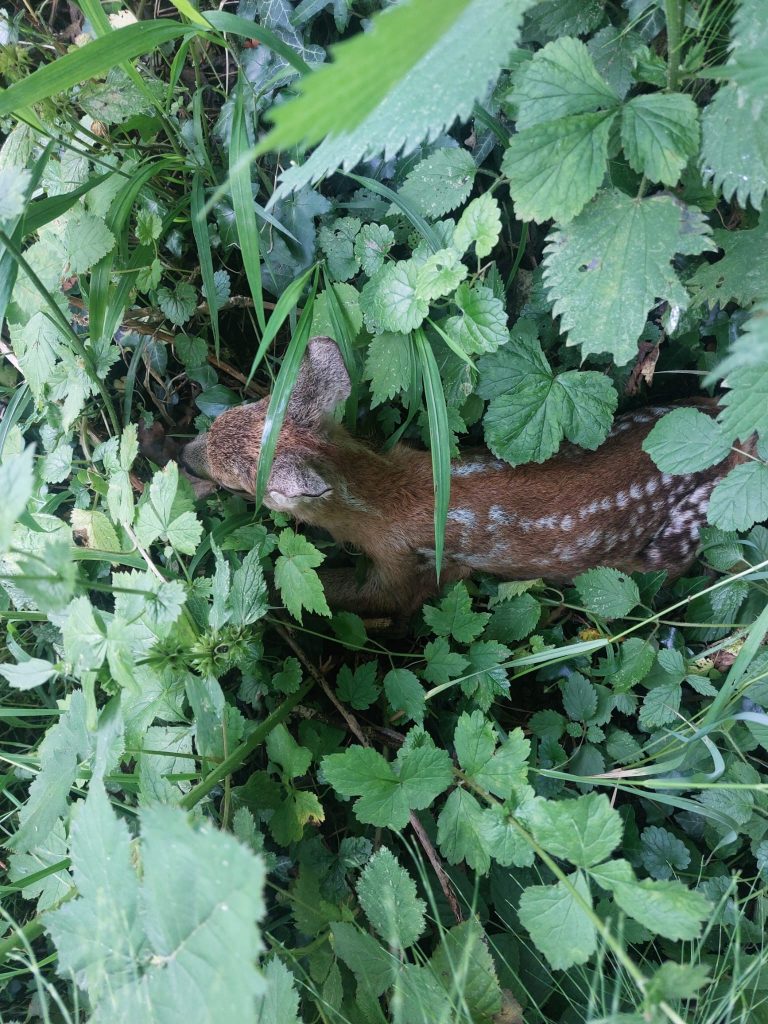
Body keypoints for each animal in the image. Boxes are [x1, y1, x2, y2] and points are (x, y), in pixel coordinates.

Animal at [162, 336, 744, 617]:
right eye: (233, 411)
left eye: (236, 482)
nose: (185, 456)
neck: (383, 493)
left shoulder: (402, 565)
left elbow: (368, 596)